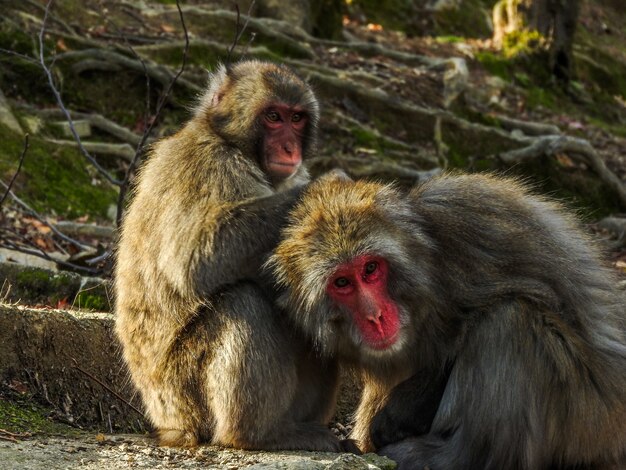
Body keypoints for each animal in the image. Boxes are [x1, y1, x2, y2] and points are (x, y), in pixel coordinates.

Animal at [114, 59, 346, 452]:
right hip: (182, 393)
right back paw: (260, 434)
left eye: (296, 118)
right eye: (273, 117)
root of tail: (168, 424)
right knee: (243, 301)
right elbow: (195, 258)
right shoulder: (209, 166)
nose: (289, 148)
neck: (230, 142)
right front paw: (325, 187)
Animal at [270, 173, 624, 470]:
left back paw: (449, 456)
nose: (374, 316)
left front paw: (404, 408)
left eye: (370, 269)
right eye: (342, 282)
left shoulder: (473, 226)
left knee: (508, 322)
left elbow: (544, 298)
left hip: (589, 421)